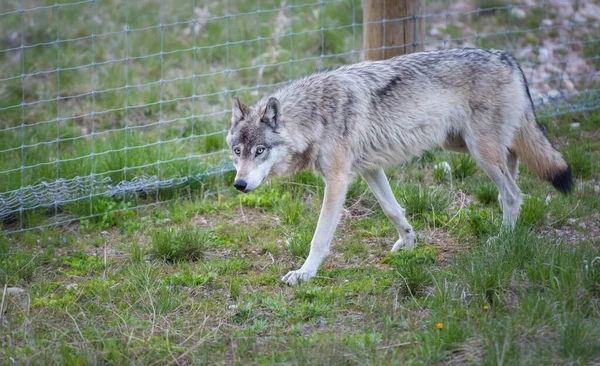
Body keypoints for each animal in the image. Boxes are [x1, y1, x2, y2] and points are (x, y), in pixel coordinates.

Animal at [225, 46, 572, 286]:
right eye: (237, 152)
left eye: (260, 151)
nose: (239, 185)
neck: (316, 115)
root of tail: (507, 57)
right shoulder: (369, 169)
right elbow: (393, 210)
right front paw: (409, 242)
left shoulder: (337, 179)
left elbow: (319, 238)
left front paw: (304, 274)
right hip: (465, 145)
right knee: (512, 173)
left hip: (479, 152)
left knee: (513, 193)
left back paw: (502, 239)